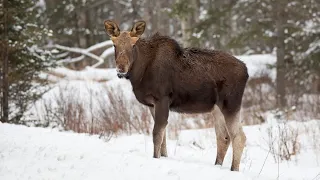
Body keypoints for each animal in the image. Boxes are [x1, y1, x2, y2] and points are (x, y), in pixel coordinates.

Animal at [104, 19, 249, 172]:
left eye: (133, 45)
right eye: (114, 45)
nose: (121, 68)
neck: (140, 73)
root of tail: (246, 71)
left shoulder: (162, 98)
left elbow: (157, 134)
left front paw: (156, 158)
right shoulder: (151, 104)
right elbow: (163, 137)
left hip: (230, 103)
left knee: (239, 137)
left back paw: (234, 169)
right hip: (217, 108)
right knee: (223, 137)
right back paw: (217, 165)